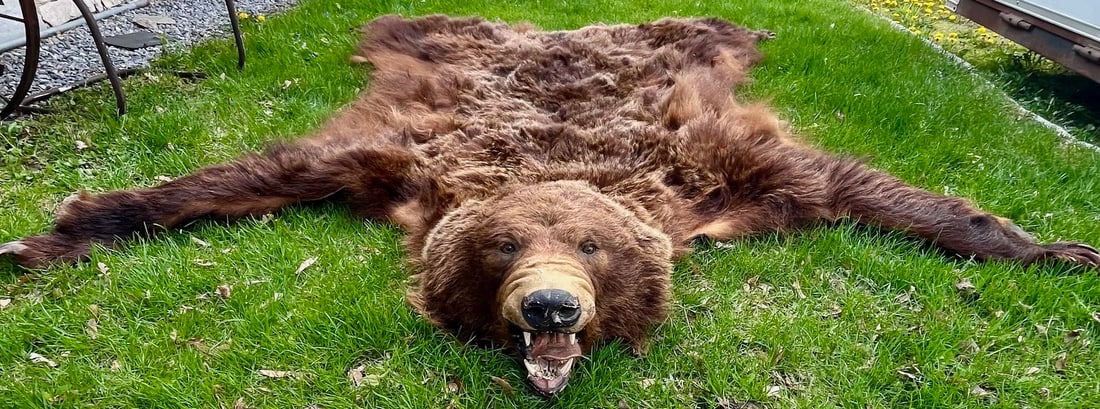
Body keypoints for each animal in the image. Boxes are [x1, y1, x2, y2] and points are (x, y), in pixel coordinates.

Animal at [2, 15, 1097, 395]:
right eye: (500, 247)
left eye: (592, 249)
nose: (550, 304)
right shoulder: (401, 160)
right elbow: (261, 172)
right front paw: (57, 231)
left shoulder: (725, 168)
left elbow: (856, 185)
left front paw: (1049, 248)